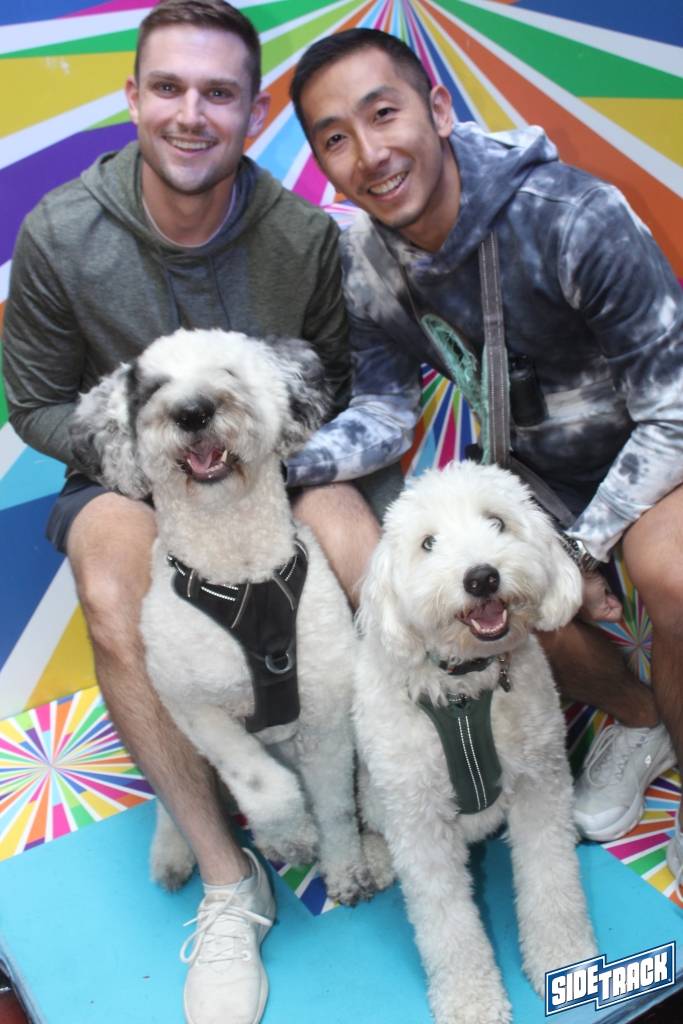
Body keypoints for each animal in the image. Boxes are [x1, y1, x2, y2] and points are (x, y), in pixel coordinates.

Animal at [71, 327, 384, 905]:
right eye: (152, 390)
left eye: (229, 373)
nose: (193, 412)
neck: (241, 577)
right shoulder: (194, 706)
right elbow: (259, 783)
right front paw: (288, 836)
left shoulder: (325, 716)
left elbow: (333, 806)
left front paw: (346, 867)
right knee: (182, 796)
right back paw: (175, 850)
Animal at [354, 460, 597, 1023]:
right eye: (428, 543)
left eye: (497, 522)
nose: (482, 577)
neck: (464, 691)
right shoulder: (420, 824)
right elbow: (449, 926)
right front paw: (472, 1001)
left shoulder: (541, 784)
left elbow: (553, 882)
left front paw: (566, 962)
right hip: (376, 795)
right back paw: (374, 858)